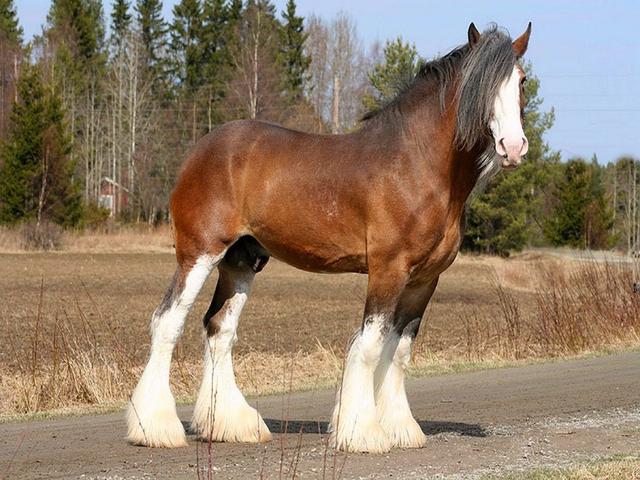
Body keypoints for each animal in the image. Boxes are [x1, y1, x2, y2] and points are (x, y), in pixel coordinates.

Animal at [126, 22, 532, 454]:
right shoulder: (388, 270)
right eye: (481, 84)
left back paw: (232, 424)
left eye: (522, 80)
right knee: (167, 321)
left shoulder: (425, 279)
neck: (416, 166)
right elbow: (370, 346)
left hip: (241, 261)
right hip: (199, 253)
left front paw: (400, 427)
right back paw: (156, 428)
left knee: (219, 328)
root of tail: (199, 151)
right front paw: (363, 432)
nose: (512, 147)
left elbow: (399, 350)